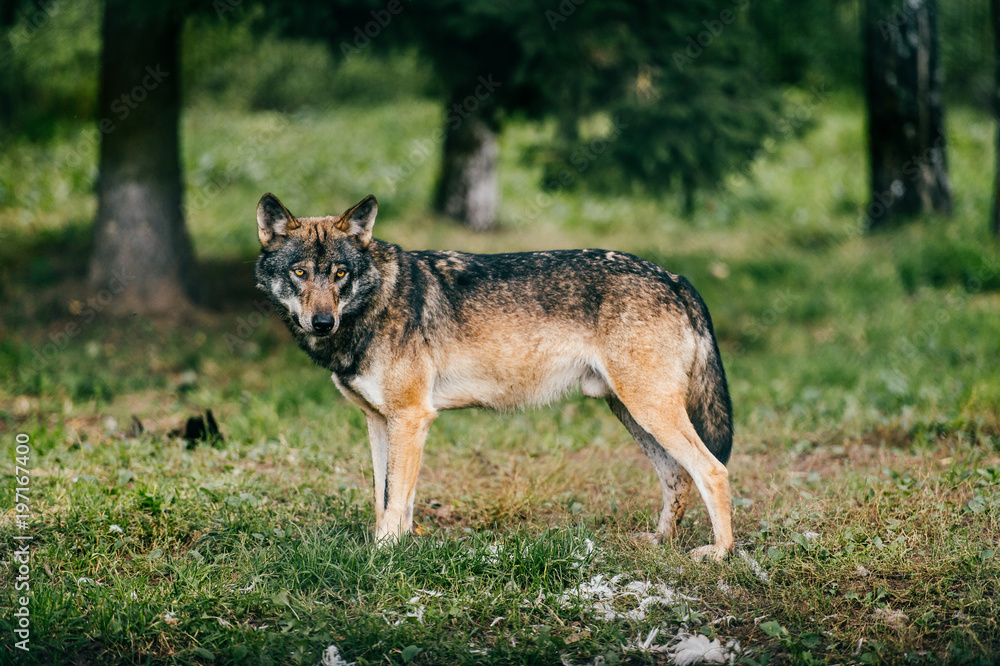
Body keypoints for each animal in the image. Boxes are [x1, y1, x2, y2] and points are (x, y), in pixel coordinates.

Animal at [254, 193, 735, 561]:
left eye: (340, 273)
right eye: (300, 272)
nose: (322, 322)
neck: (377, 302)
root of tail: (674, 277)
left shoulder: (411, 418)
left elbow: (395, 502)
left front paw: (383, 558)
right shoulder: (379, 421)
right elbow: (386, 498)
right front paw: (398, 550)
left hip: (649, 409)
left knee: (713, 471)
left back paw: (720, 554)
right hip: (632, 413)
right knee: (677, 477)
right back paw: (659, 542)